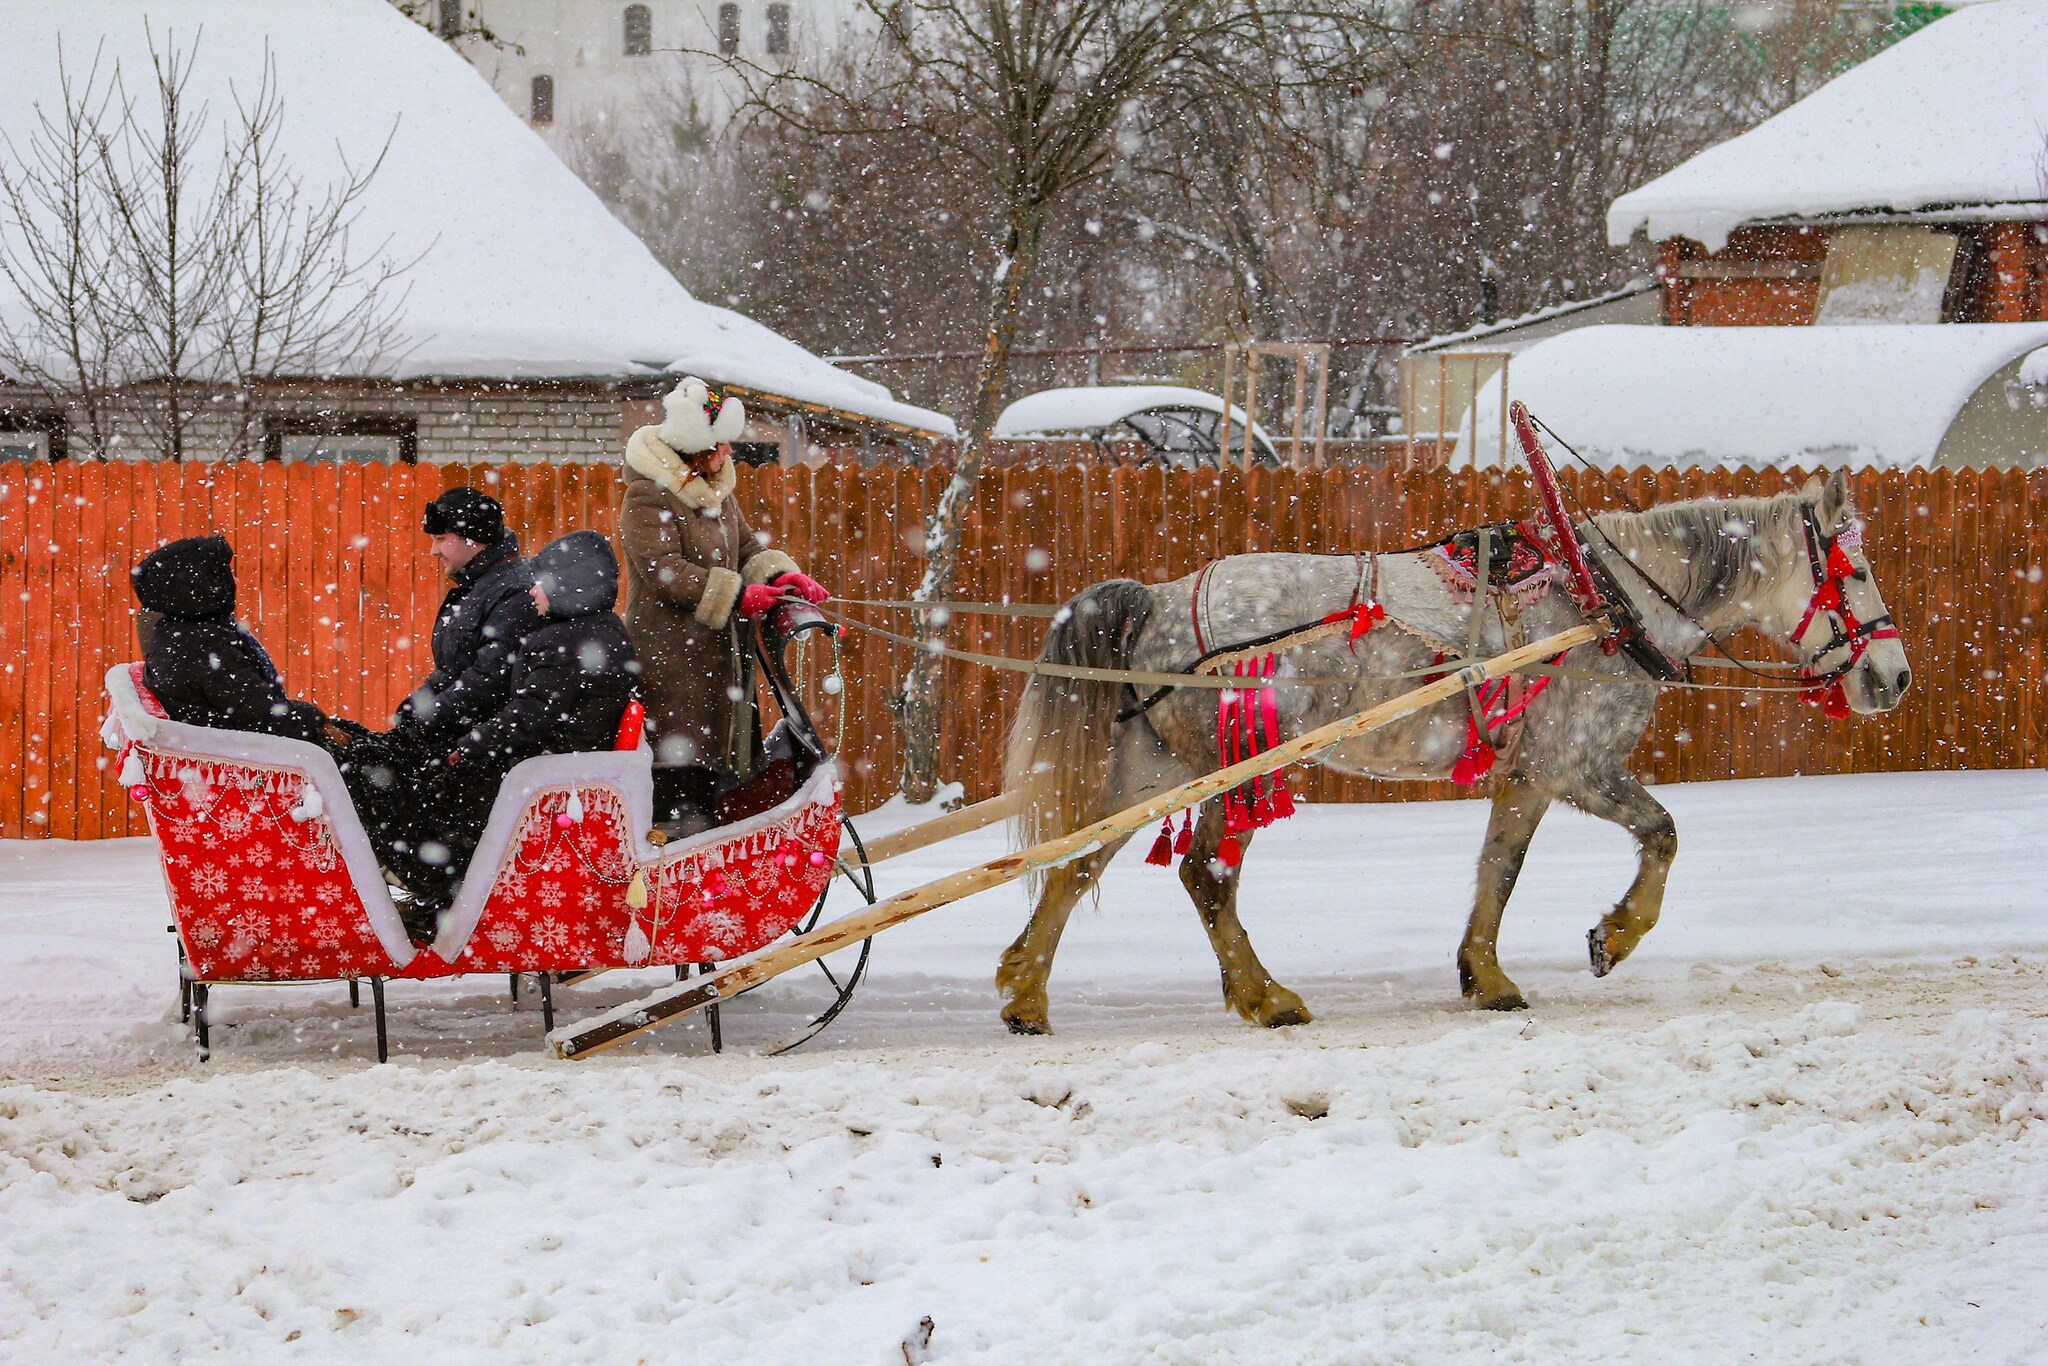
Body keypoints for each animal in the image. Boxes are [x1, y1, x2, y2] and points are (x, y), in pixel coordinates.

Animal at [999, 464, 1908, 1032]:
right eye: (1856, 571)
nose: (1894, 678)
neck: (1606, 600)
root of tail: (1156, 599)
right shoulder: (1574, 766)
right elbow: (1657, 835)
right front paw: (1610, 938)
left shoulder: (1526, 776)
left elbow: (1497, 869)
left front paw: (1487, 975)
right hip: (1241, 767)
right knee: (1206, 876)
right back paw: (1266, 997)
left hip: (1157, 767)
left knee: (1076, 866)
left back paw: (1025, 994)